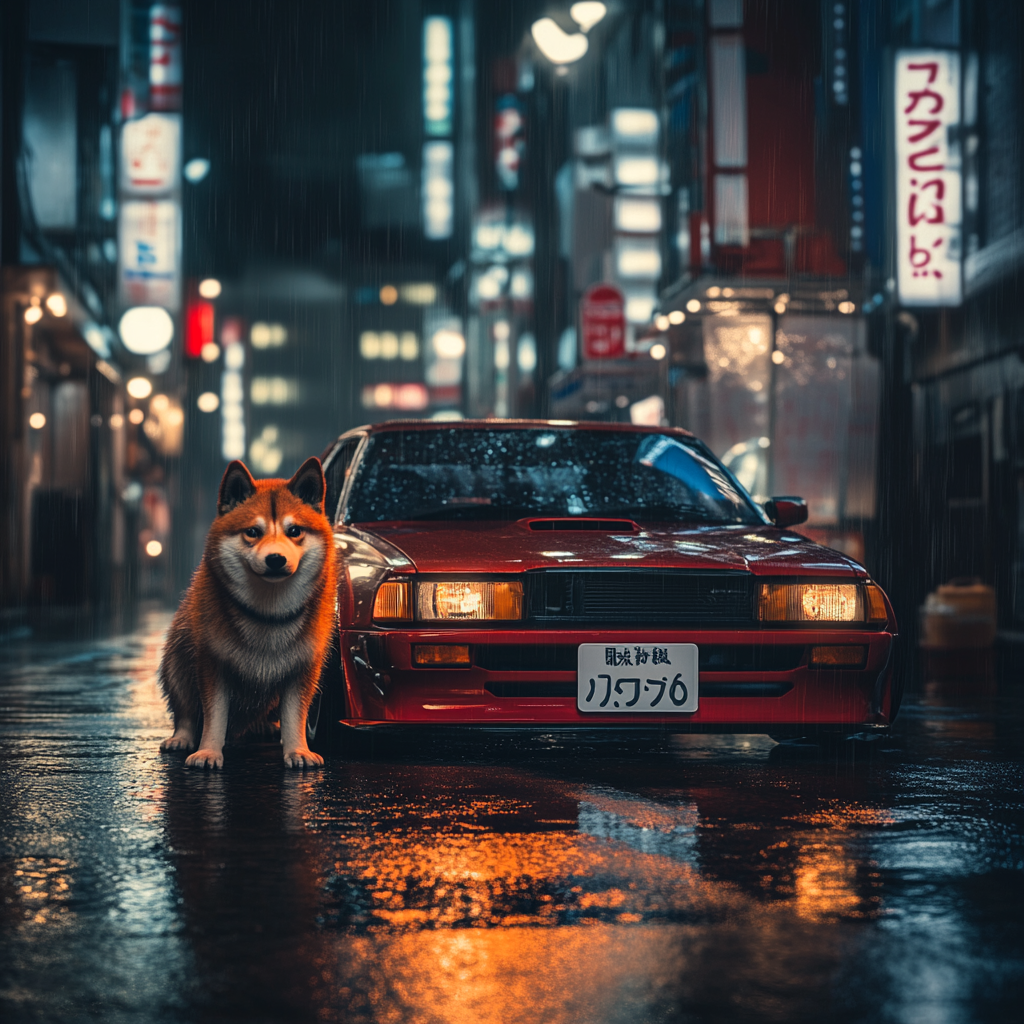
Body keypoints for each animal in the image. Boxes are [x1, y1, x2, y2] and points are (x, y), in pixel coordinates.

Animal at [157, 458, 337, 770]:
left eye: (294, 531)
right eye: (252, 532)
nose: (275, 559)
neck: (268, 613)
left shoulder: (303, 667)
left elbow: (295, 716)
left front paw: (297, 750)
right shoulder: (213, 664)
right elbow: (214, 715)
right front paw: (208, 752)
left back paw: (265, 726)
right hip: (177, 657)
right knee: (186, 709)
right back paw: (182, 737)